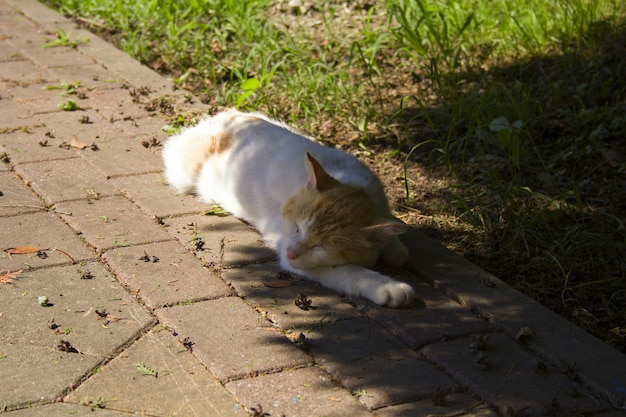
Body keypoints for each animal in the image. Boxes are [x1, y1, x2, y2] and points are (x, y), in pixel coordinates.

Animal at [161, 109, 414, 308]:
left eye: (322, 246)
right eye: (296, 227)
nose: (292, 252)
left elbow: (393, 230)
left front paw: (395, 247)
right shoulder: (295, 256)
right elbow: (350, 271)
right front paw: (387, 287)